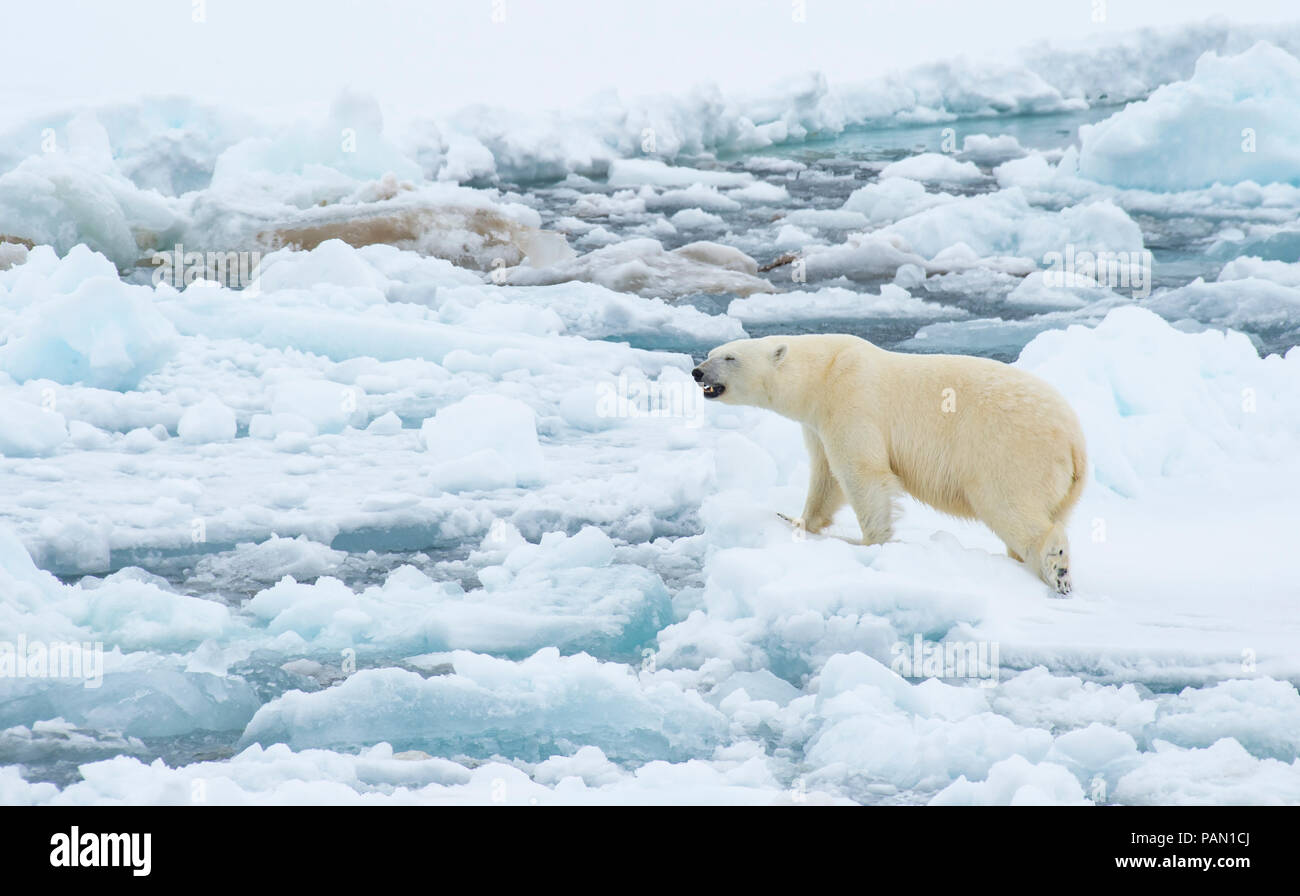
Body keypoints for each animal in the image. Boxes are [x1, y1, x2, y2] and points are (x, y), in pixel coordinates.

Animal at [691, 331, 1086, 590]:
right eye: (711, 351)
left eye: (730, 357)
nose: (697, 371)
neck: (824, 370)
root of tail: (1074, 440)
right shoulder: (818, 422)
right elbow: (825, 477)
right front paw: (796, 520)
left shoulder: (851, 400)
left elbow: (861, 471)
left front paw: (867, 542)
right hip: (1062, 483)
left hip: (1012, 451)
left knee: (1008, 506)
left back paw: (1056, 566)